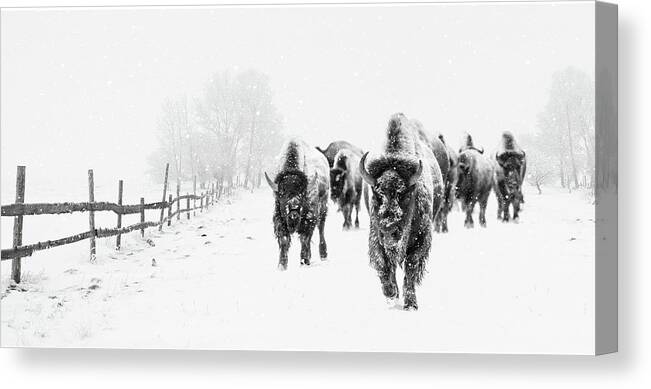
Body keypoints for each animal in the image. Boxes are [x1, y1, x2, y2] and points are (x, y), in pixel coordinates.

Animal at [264, 137, 328, 270]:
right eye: (282, 194)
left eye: (302, 194)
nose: (293, 214)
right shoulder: (280, 218)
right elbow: (284, 240)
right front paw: (282, 265)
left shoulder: (309, 219)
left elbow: (304, 239)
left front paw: (304, 261)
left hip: (324, 209)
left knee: (321, 229)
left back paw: (323, 254)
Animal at [360, 113, 446, 310]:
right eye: (377, 193)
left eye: (404, 193)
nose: (389, 228)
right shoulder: (376, 237)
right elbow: (383, 264)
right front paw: (391, 293)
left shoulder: (422, 239)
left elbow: (411, 267)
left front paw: (411, 304)